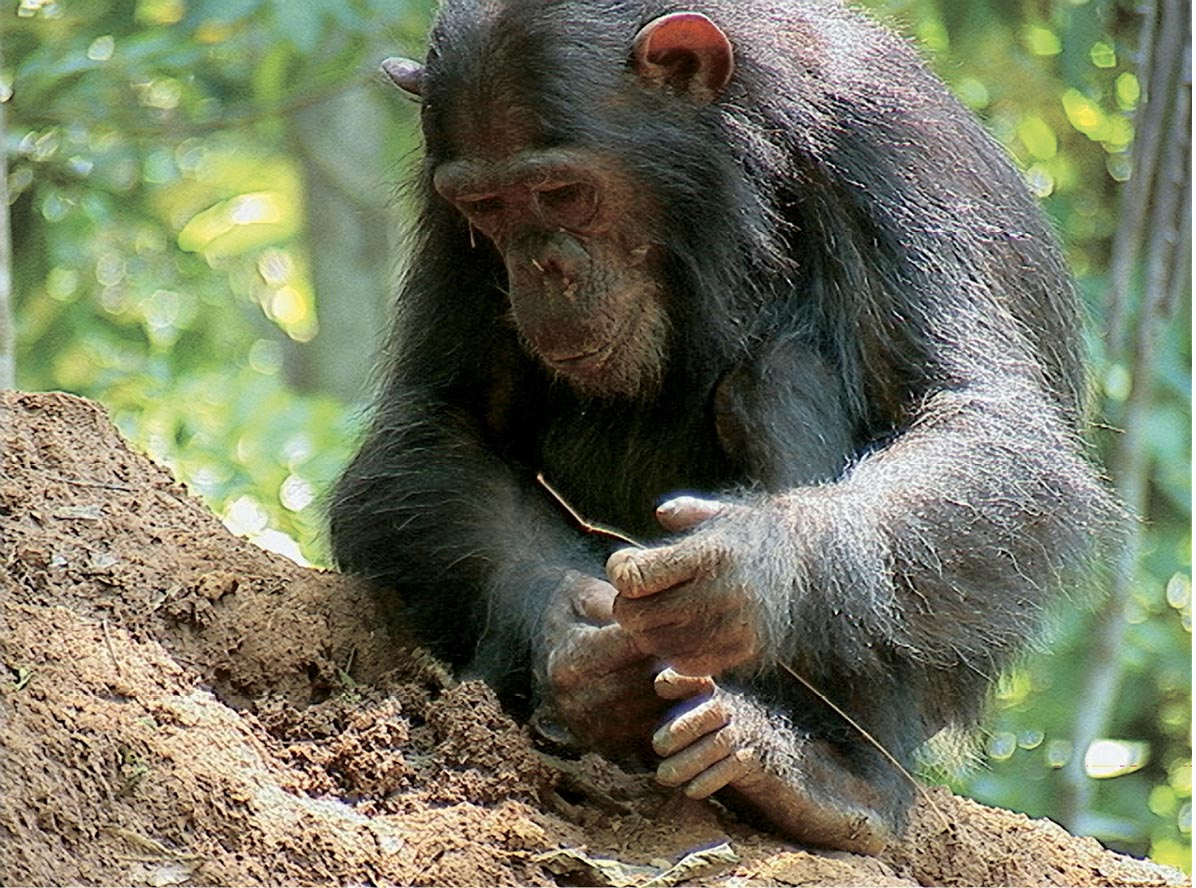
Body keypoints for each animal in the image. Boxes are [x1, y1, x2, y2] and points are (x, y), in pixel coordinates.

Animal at [325, 0, 1109, 856]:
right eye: (488, 208)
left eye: (561, 192)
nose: (541, 269)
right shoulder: (442, 210)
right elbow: (437, 422)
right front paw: (575, 641)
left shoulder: (890, 157)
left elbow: (980, 418)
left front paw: (756, 566)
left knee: (777, 375)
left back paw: (832, 783)